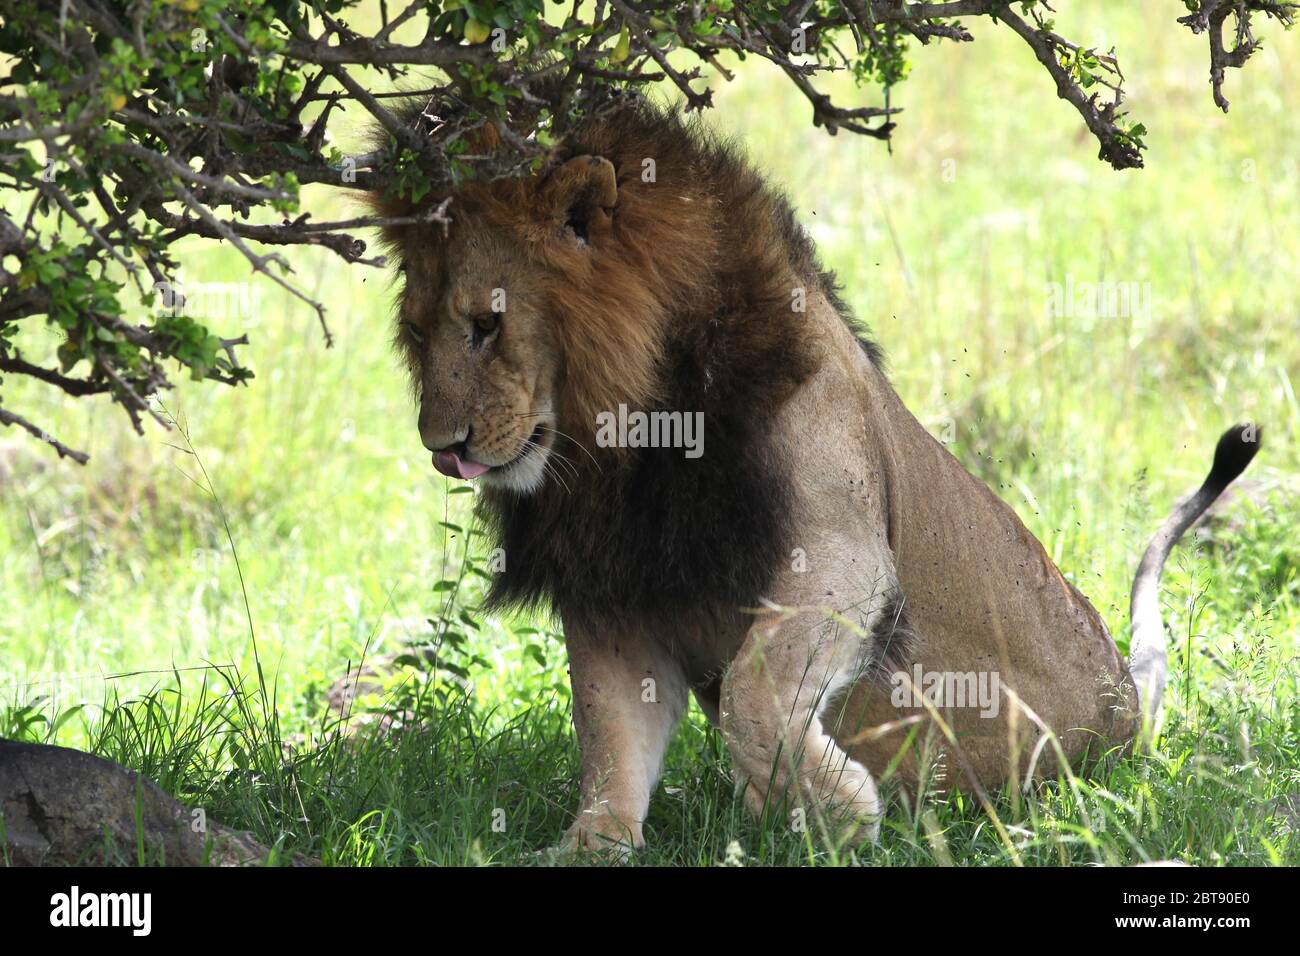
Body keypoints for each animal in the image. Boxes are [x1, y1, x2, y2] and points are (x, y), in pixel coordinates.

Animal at [371, 100, 1261, 854]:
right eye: (416, 331)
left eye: (487, 324)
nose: (439, 447)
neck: (619, 445)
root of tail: (1125, 701)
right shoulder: (616, 592)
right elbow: (610, 739)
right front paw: (591, 845)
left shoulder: (840, 553)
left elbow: (753, 695)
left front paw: (835, 815)